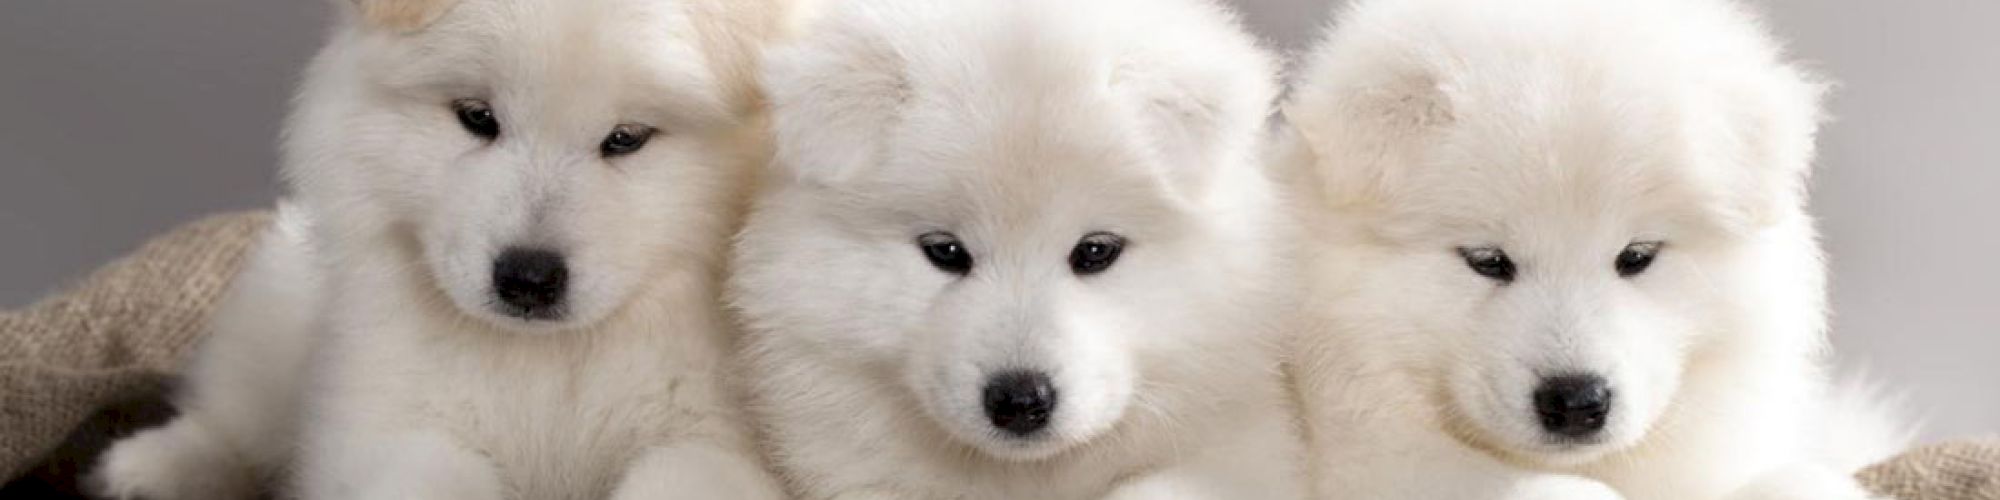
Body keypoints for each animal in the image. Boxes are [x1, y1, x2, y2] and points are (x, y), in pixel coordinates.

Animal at [92, 0, 796, 500]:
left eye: (626, 138)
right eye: (477, 117)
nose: (527, 278)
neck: (550, 361)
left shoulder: (717, 444)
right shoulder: (398, 425)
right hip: (276, 307)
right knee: (230, 421)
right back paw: (144, 466)